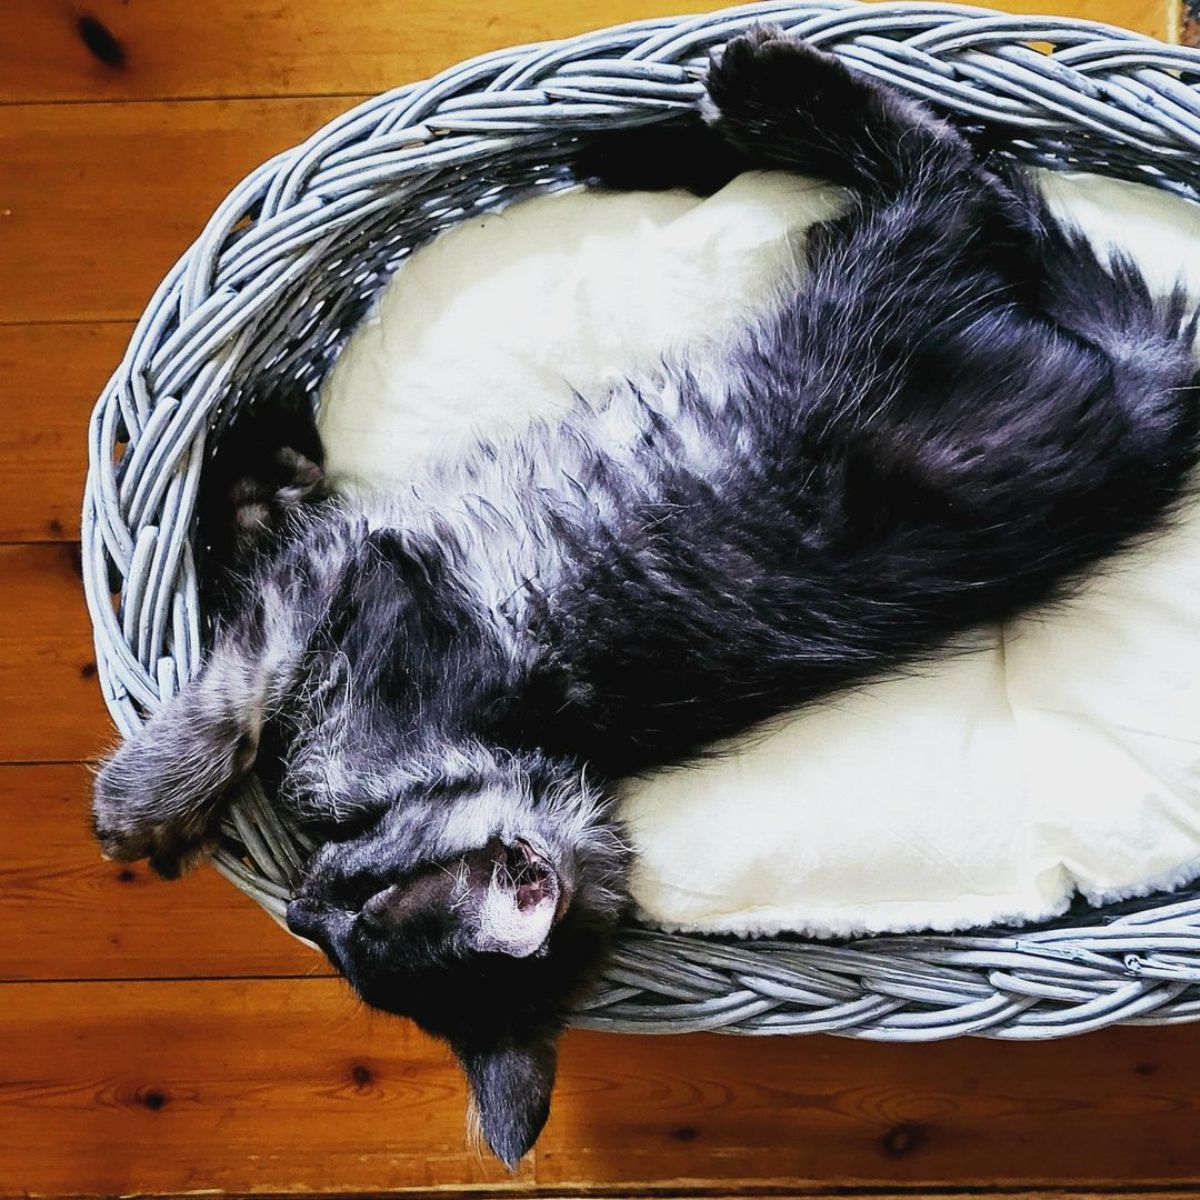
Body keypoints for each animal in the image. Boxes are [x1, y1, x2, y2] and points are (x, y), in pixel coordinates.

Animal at [91, 32, 1200, 1166]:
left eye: (357, 907)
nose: (306, 899)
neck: (498, 753)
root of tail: (1140, 420)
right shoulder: (345, 569)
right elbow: (255, 587)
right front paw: (258, 465)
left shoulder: (359, 579)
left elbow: (238, 682)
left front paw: (146, 808)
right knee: (980, 183)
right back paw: (653, 138)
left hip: (880, 293)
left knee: (950, 171)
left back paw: (751, 87)